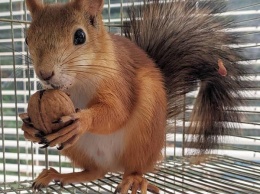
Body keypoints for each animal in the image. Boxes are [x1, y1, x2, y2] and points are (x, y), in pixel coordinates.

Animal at [21, 0, 246, 194]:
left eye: (80, 36)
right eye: (27, 38)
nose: (44, 74)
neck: (77, 82)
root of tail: (115, 166)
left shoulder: (120, 82)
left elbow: (117, 112)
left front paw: (82, 120)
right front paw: (27, 126)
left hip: (143, 136)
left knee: (135, 168)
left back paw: (134, 180)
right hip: (78, 148)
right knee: (95, 172)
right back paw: (60, 175)